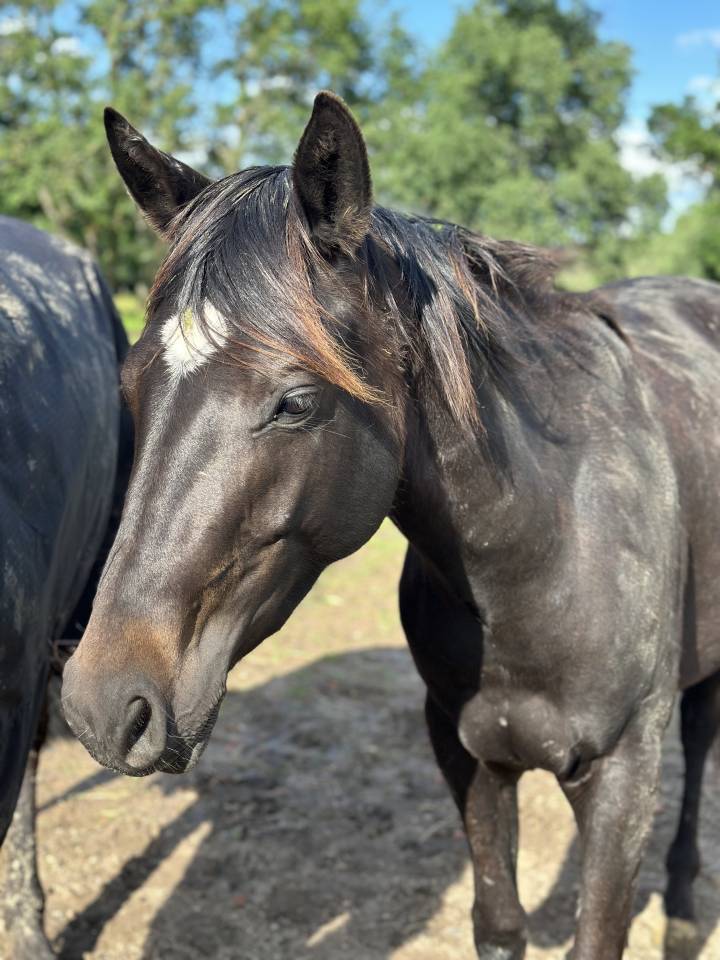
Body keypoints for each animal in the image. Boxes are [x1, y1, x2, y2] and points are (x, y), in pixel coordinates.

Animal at [61, 92, 720, 959]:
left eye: (295, 402)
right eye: (132, 384)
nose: (102, 706)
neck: (545, 549)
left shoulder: (624, 775)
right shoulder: (468, 753)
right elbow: (498, 921)